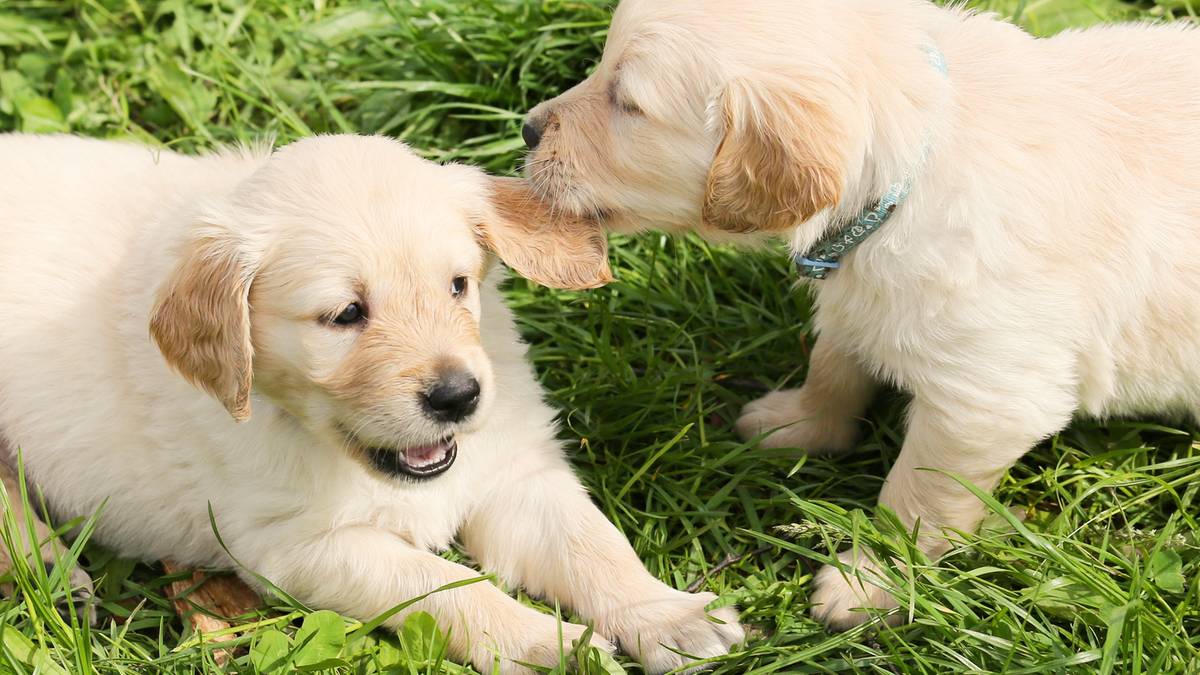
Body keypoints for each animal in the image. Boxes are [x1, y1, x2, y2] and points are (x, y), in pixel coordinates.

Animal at [0, 131, 739, 667]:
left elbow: (596, 546)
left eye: (457, 286)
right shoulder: (297, 545)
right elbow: (443, 587)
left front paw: (670, 617)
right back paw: (48, 569)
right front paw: (547, 645)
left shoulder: (515, 471)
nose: (458, 396)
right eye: (345, 315)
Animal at [523, 0, 1200, 624]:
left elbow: (917, 500)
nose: (527, 129)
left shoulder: (985, 402)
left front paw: (871, 583)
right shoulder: (854, 295)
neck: (907, 175)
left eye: (628, 103)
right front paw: (800, 425)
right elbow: (832, 365)